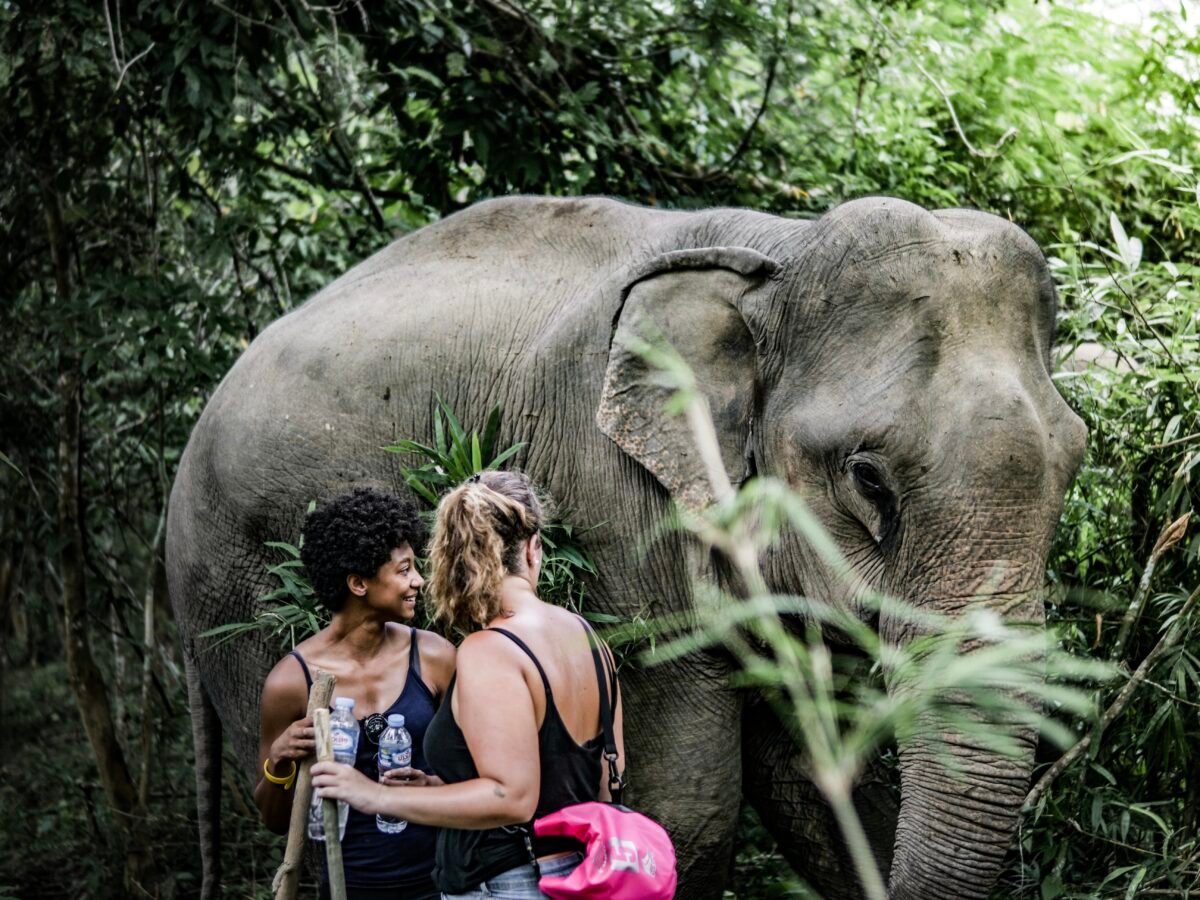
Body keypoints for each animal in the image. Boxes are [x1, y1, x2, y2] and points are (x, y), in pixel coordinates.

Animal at [166, 195, 1085, 900]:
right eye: (868, 478)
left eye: (1075, 458)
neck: (777, 253)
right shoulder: (608, 503)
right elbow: (694, 806)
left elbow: (819, 788)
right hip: (239, 587)